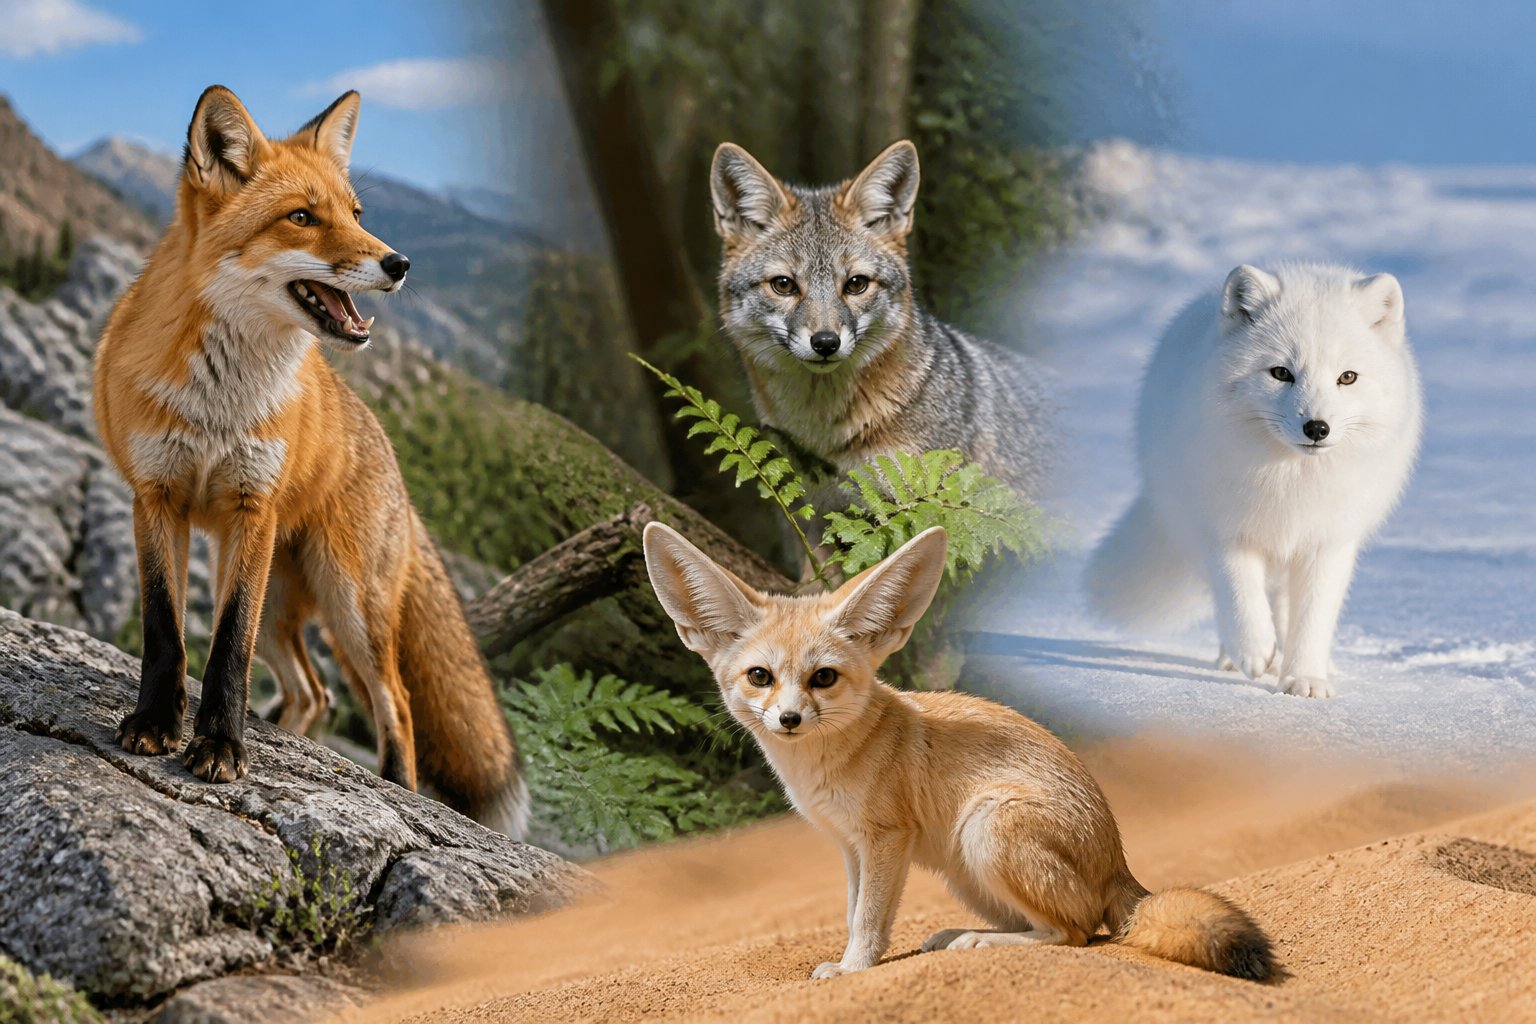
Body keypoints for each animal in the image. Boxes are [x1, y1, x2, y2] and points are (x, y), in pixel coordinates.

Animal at [92, 85, 526, 835]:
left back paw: (397, 789)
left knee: (395, 701)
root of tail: (391, 456)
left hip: (348, 607)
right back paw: (282, 735)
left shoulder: (252, 508)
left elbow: (225, 650)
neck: (221, 404)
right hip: (280, 605)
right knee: (315, 692)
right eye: (302, 218)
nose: (399, 263)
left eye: (357, 215)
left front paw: (220, 746)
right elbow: (166, 633)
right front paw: (159, 724)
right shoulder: (156, 500)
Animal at [643, 521, 1275, 981]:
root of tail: (1119, 865)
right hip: (966, 875)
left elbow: (868, 919)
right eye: (760, 677)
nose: (790, 719)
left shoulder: (886, 839)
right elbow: (852, 911)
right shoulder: (850, 847)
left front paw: (853, 970)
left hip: (986, 828)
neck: (825, 764)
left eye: (823, 678)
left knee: (1075, 934)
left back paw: (977, 943)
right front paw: (854, 961)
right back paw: (960, 936)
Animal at [1085, 262, 1423, 698]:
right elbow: (1238, 593)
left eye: (1347, 377)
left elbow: (1312, 617)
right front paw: (1255, 651)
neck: (1291, 480)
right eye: (1281, 373)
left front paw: (1305, 678)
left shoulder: (1328, 541)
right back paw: (1235, 657)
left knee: (1284, 605)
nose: (1317, 428)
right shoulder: (1223, 528)